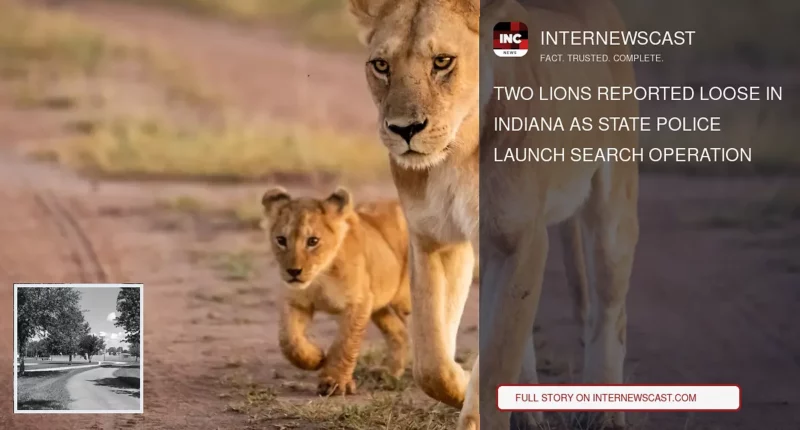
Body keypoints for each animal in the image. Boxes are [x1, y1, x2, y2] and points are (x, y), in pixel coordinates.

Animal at [261, 186, 412, 396]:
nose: (293, 272)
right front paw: (316, 358)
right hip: (378, 305)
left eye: (313, 241)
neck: (320, 276)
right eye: (281, 240)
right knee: (399, 332)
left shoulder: (358, 303)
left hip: (407, 300)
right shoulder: (296, 301)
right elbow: (289, 340)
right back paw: (388, 373)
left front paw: (334, 383)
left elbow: (345, 343)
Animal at [347, 0, 640, 429]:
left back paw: (605, 413)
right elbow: (431, 361)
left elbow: (500, 353)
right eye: (381, 65)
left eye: (442, 61)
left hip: (612, 213)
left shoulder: (523, 242)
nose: (404, 129)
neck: (457, 154)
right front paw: (461, 383)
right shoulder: (434, 239)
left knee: (610, 314)